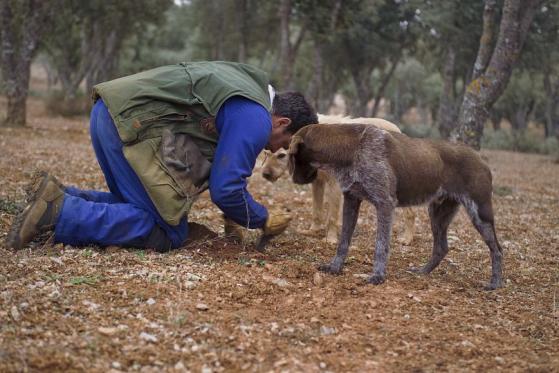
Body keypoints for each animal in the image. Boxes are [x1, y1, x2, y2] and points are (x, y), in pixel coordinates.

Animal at [262, 115, 416, 246]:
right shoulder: (317, 183)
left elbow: (332, 216)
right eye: (266, 153)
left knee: (410, 213)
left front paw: (330, 238)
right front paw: (313, 230)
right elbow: (317, 210)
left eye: (281, 155)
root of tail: (397, 129)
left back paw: (407, 239)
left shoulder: (334, 184)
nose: (264, 174)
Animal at [288, 123, 504, 290]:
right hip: (437, 213)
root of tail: (481, 159)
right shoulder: (351, 200)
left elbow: (381, 245)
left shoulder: (385, 204)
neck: (352, 149)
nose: (294, 179)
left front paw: (378, 276)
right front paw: (335, 267)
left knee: (497, 250)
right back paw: (422, 271)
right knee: (441, 247)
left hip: (480, 213)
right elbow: (343, 242)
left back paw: (495, 283)